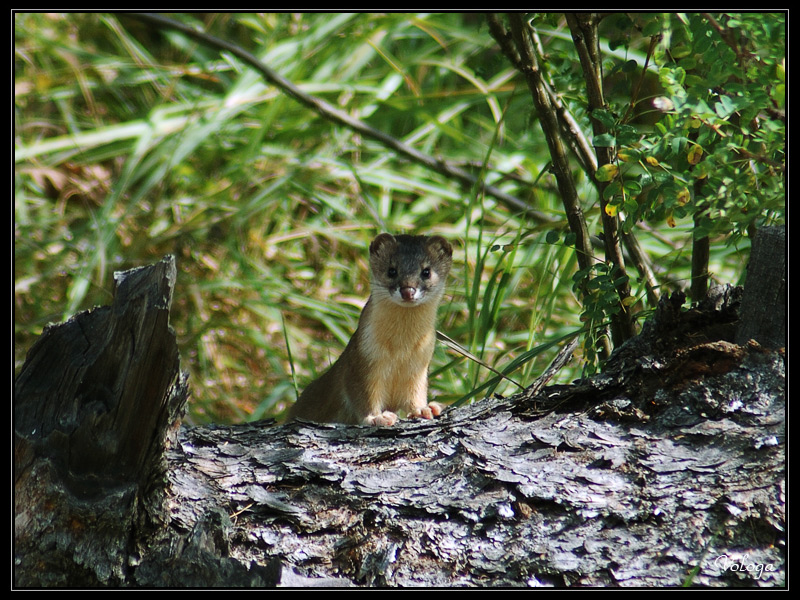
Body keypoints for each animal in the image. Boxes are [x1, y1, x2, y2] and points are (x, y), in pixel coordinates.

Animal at [286, 234, 450, 426]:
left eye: (426, 271)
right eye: (391, 270)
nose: (408, 291)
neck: (400, 351)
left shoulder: (420, 365)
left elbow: (415, 394)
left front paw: (425, 409)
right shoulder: (362, 360)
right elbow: (363, 396)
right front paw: (377, 417)